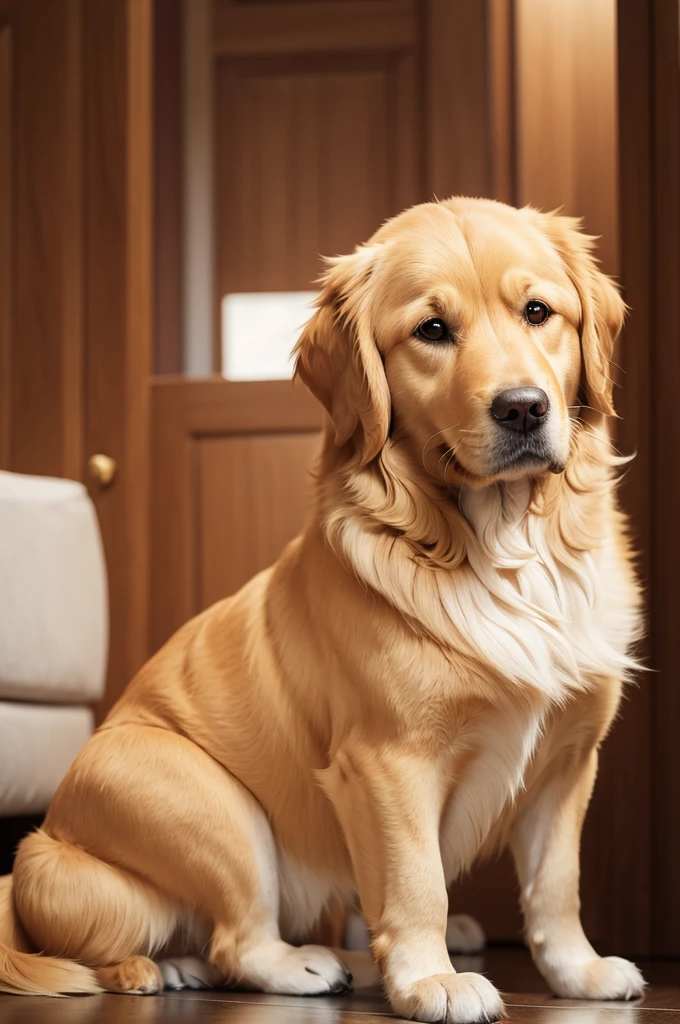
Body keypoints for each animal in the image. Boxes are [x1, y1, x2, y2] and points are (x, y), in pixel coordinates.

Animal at [0, 195, 647, 1019]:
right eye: (432, 329)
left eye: (538, 312)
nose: (524, 409)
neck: (501, 548)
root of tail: (32, 859)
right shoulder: (388, 762)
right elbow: (417, 884)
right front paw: (431, 979)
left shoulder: (569, 760)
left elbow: (556, 887)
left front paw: (577, 973)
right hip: (213, 801)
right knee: (237, 942)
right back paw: (304, 965)